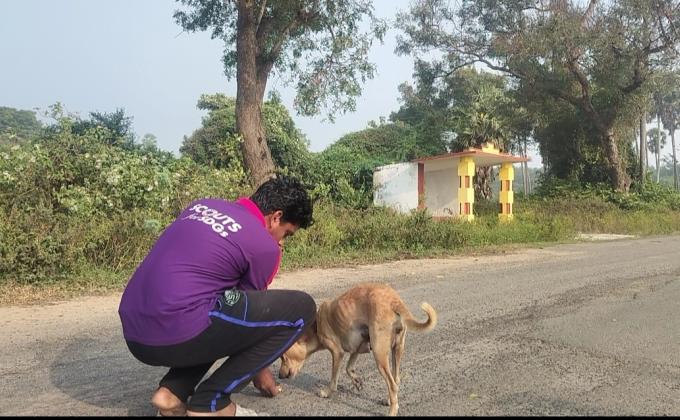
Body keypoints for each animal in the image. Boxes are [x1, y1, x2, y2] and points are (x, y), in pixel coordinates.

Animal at [278, 282, 437, 416]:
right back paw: (390, 400)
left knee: (392, 385)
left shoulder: (337, 353)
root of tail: (394, 300)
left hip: (379, 355)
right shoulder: (357, 348)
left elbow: (334, 380)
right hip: (397, 349)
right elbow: (349, 368)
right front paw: (356, 381)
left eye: (283, 356)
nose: (279, 376)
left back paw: (392, 410)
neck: (315, 326)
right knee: (396, 379)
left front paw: (327, 392)